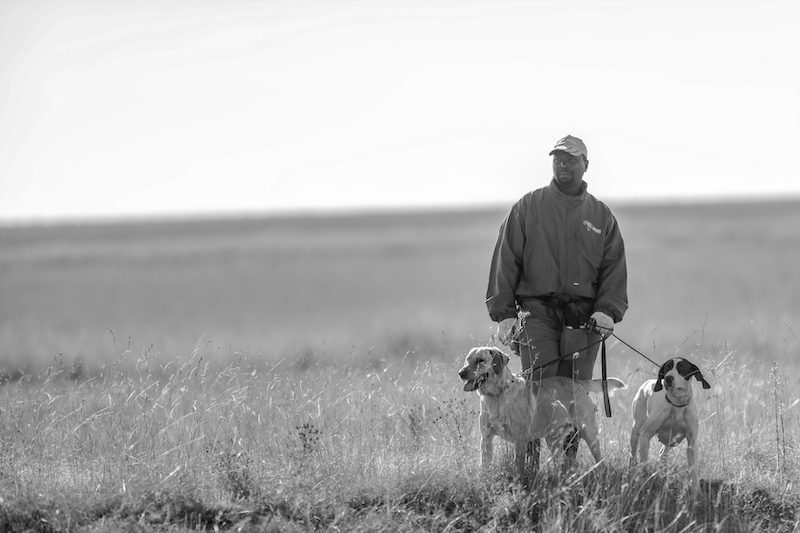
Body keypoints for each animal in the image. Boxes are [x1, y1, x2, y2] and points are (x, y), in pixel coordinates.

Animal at [456, 348, 624, 476]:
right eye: (467, 360)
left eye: (480, 360)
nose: (461, 373)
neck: (496, 395)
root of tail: (577, 382)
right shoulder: (486, 438)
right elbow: (484, 464)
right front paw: (483, 480)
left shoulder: (520, 439)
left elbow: (519, 464)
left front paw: (519, 481)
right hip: (553, 440)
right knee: (563, 462)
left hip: (588, 433)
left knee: (599, 459)